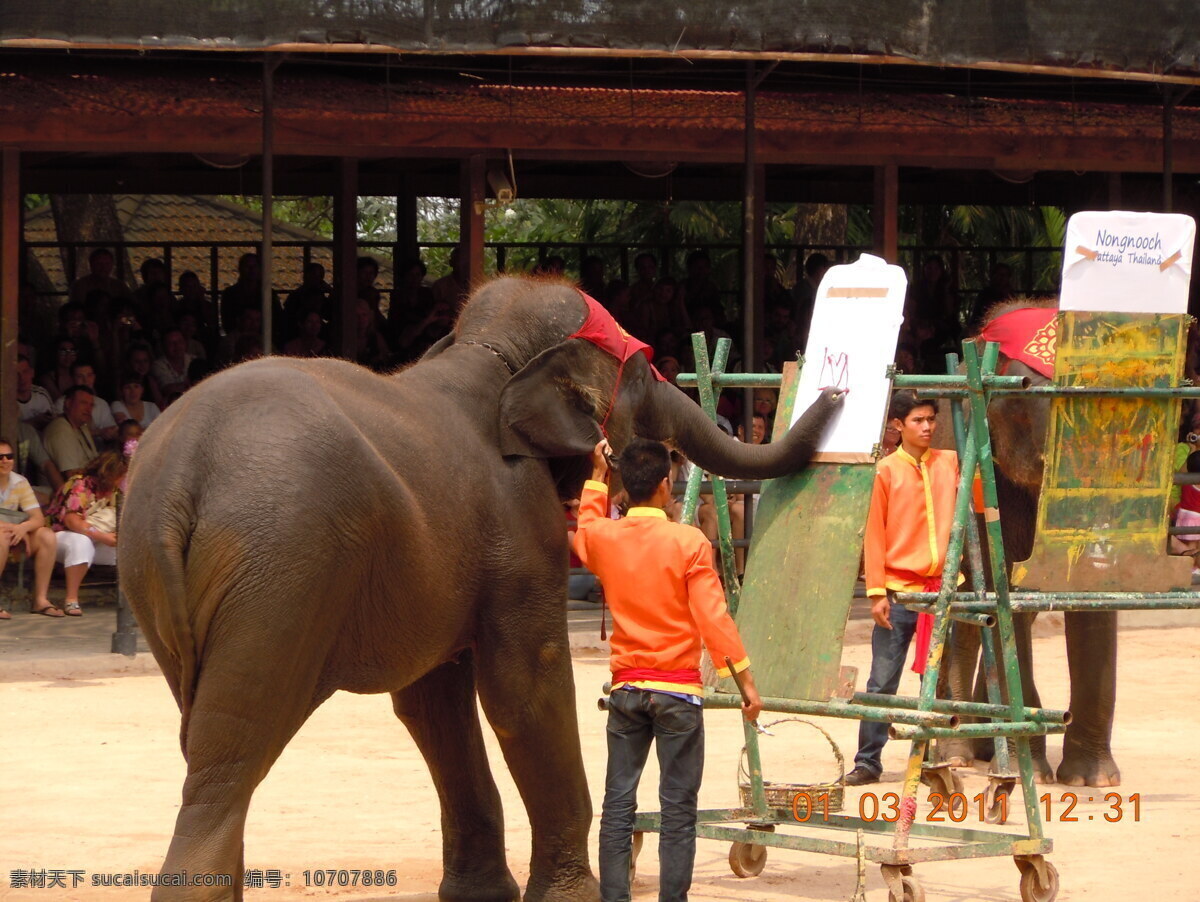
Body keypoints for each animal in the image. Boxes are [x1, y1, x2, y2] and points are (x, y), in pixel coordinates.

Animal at [117, 278, 840, 897]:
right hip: (281, 567)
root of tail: (183, 469)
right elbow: (525, 688)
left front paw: (483, 894)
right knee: (229, 757)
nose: (835, 394)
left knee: (201, 741)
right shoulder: (520, 526)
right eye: (644, 372)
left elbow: (431, 703)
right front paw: (570, 897)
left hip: (166, 580)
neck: (488, 356)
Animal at [940, 301, 1118, 782]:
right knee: (970, 602)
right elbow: (1007, 596)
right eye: (1031, 399)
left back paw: (982, 745)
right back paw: (959, 753)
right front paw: (1032, 774)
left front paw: (1092, 781)